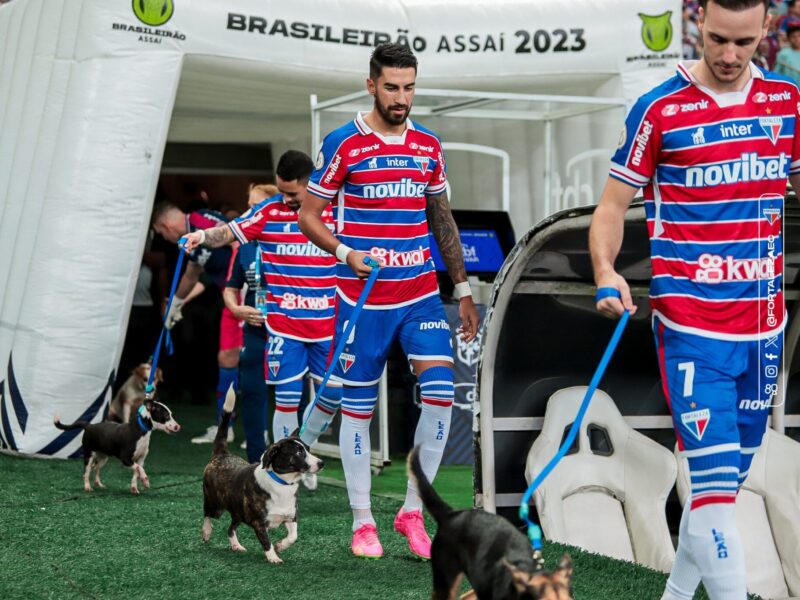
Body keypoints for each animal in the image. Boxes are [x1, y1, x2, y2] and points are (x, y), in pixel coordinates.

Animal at [202, 384, 324, 564]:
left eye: (308, 449)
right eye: (298, 453)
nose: (321, 463)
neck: (282, 482)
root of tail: (222, 454)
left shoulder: (290, 516)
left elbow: (293, 536)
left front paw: (280, 546)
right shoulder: (258, 522)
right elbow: (266, 541)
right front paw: (273, 557)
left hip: (238, 512)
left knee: (230, 528)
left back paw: (236, 545)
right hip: (214, 503)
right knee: (207, 514)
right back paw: (206, 532)